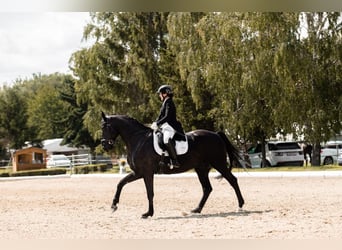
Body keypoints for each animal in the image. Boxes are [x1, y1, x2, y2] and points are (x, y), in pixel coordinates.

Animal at [100, 112, 244, 218]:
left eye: (105, 127)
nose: (105, 145)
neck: (138, 140)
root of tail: (216, 134)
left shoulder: (147, 172)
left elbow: (149, 192)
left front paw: (148, 213)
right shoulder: (138, 172)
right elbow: (121, 183)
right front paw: (114, 206)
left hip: (219, 164)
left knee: (232, 180)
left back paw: (240, 206)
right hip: (201, 169)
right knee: (207, 188)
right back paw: (197, 209)